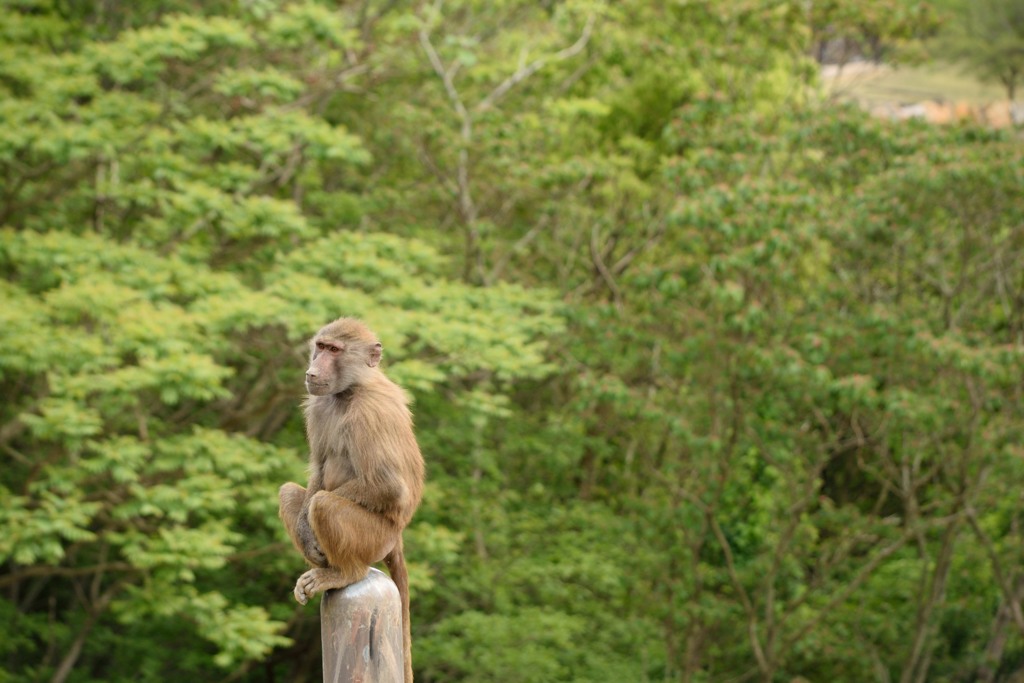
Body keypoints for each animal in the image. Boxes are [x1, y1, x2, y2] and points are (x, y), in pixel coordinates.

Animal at [278, 317, 421, 679]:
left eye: (335, 350)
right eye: (321, 347)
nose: (312, 372)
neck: (350, 390)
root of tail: (397, 536)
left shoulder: (369, 414)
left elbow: (389, 488)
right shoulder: (318, 406)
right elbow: (318, 468)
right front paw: (306, 532)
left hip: (375, 539)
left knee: (324, 504)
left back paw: (344, 573)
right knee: (292, 493)